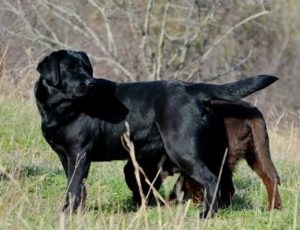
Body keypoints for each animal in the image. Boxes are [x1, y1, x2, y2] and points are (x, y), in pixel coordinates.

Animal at [34, 49, 276, 218]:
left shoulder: (80, 154)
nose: (91, 82)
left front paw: (66, 214)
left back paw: (206, 215)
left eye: (87, 69)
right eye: (70, 68)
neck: (61, 108)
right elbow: (77, 187)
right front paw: (76, 212)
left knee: (210, 181)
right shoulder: (66, 156)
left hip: (182, 150)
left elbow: (73, 187)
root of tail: (193, 89)